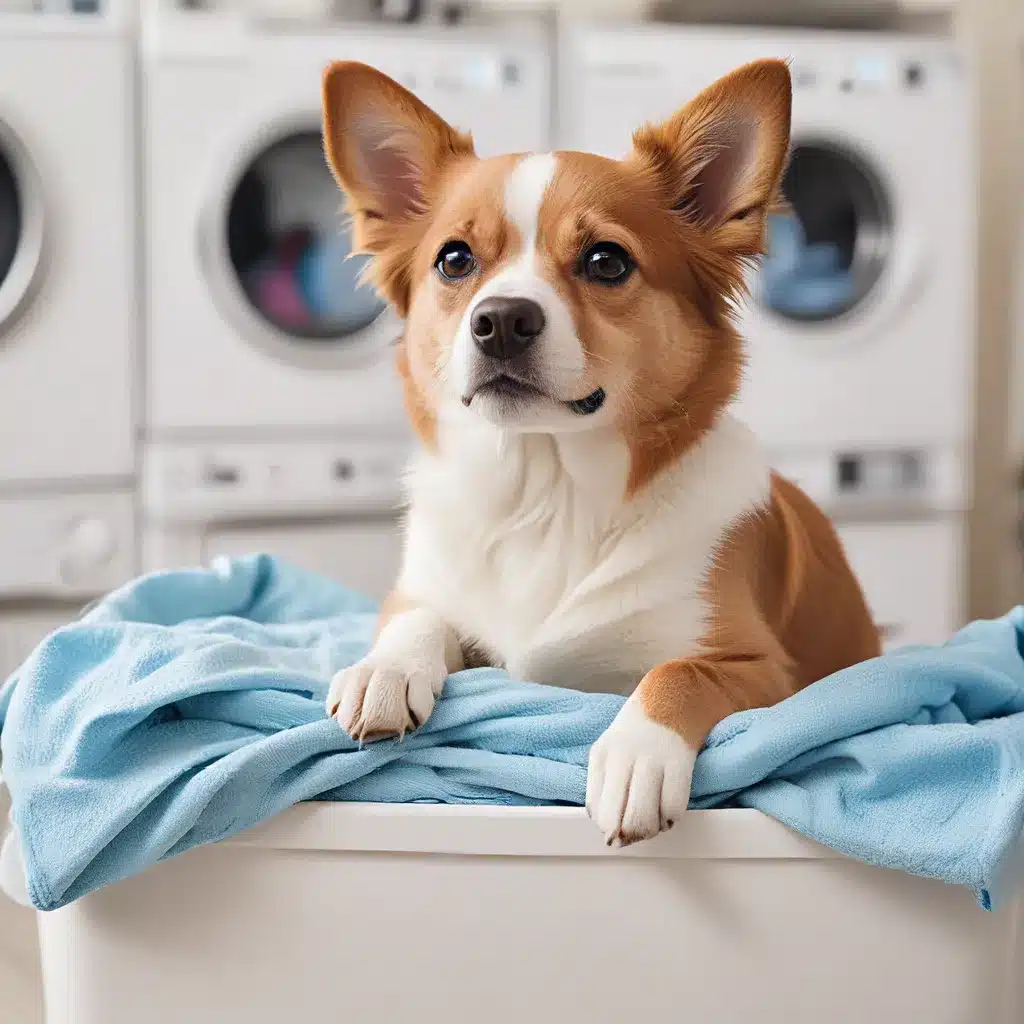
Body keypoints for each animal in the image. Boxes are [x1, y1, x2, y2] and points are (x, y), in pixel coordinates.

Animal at [319, 59, 880, 847]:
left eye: (606, 262)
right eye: (454, 259)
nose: (500, 321)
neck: (545, 491)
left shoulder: (769, 671)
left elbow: (676, 674)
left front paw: (634, 756)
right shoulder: (426, 589)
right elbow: (417, 615)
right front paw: (385, 671)